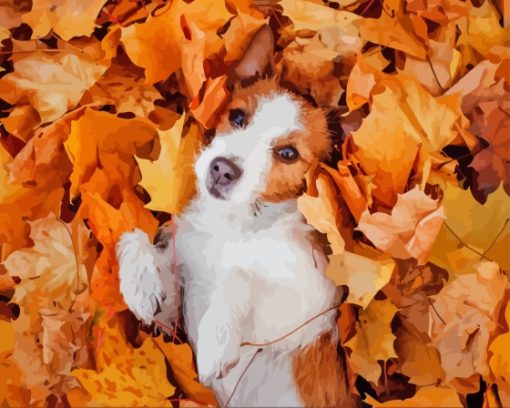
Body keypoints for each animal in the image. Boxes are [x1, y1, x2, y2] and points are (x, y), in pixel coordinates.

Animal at [117, 26, 356, 408]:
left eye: (288, 153)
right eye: (238, 117)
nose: (222, 169)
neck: (235, 224)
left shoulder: (305, 305)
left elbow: (238, 273)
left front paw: (217, 340)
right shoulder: (176, 305)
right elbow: (135, 238)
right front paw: (141, 284)